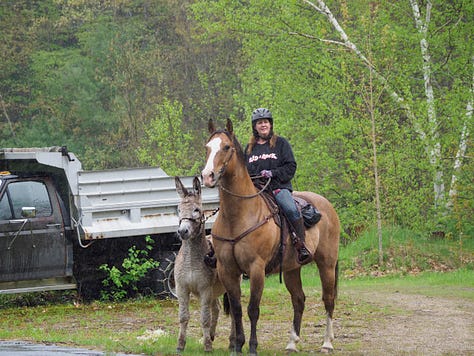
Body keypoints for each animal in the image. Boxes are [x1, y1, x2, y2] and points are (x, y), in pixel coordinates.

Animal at [201, 119, 340, 354]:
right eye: (207, 147)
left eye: (226, 147)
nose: (207, 176)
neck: (238, 216)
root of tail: (328, 206)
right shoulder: (227, 269)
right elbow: (237, 309)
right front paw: (237, 345)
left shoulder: (256, 269)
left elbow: (253, 309)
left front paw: (252, 347)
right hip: (292, 269)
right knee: (299, 300)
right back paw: (292, 343)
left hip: (327, 264)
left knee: (328, 299)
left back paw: (327, 343)